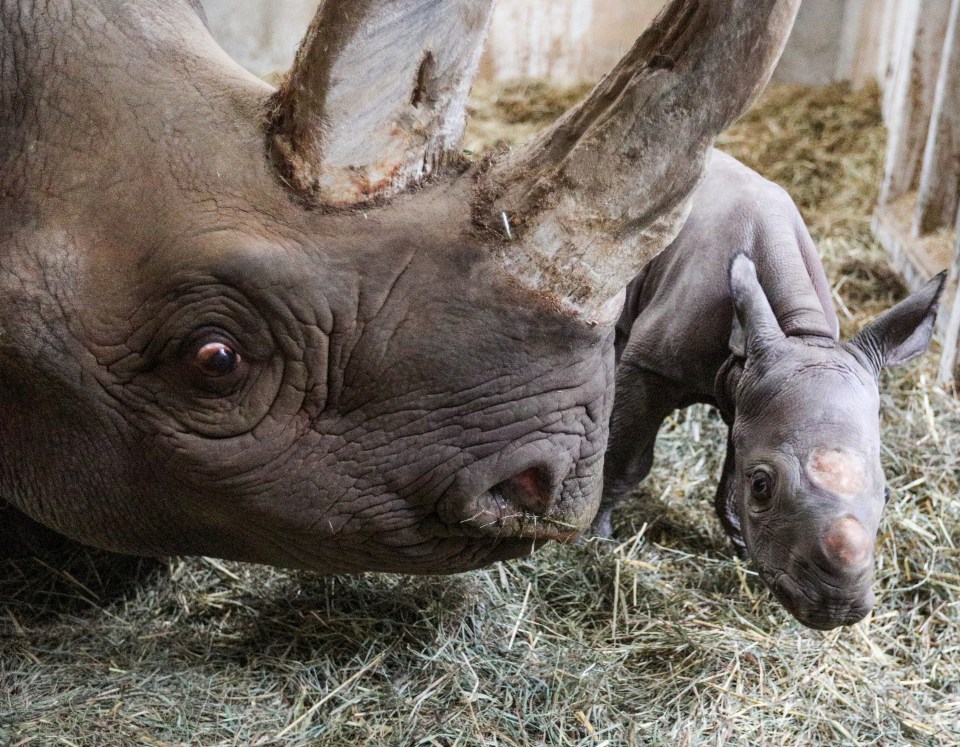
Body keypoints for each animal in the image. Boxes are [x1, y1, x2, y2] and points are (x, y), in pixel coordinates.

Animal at [596, 153, 940, 632]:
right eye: (762, 486)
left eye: (888, 494)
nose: (835, 608)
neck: (799, 332)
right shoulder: (654, 368)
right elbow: (626, 461)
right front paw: (596, 539)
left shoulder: (750, 392)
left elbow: (732, 463)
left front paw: (741, 545)